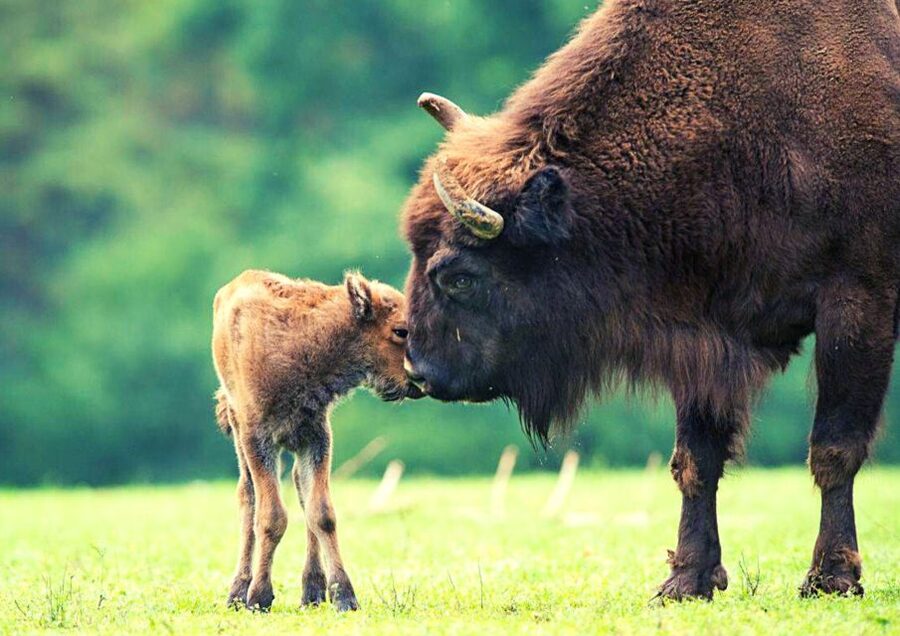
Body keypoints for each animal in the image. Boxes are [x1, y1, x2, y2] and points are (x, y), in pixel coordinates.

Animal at [401, 0, 900, 599]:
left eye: (459, 276)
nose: (419, 370)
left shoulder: (858, 304)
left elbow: (834, 448)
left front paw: (832, 578)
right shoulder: (706, 336)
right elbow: (695, 460)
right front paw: (686, 580)